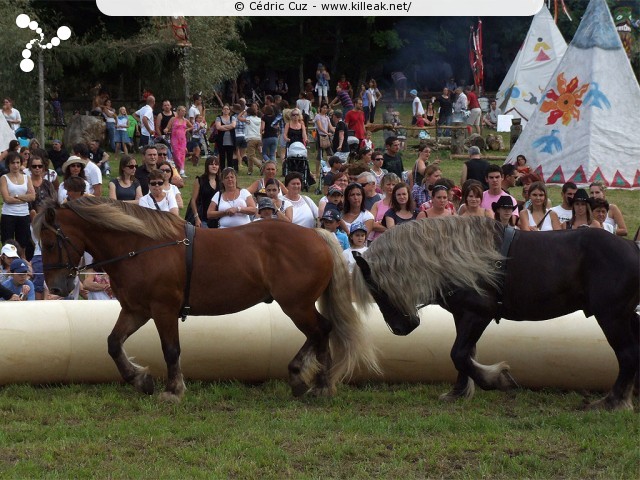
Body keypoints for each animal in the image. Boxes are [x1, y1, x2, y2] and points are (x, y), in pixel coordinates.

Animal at [35, 197, 378, 404]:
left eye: (50, 243)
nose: (56, 286)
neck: (139, 246)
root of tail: (316, 235)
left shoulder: (163, 310)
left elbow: (171, 350)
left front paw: (172, 390)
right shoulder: (136, 310)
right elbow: (112, 343)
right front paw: (140, 379)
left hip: (296, 305)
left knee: (321, 331)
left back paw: (320, 383)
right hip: (298, 305)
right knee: (320, 331)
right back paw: (300, 376)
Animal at [352, 217, 636, 408]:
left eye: (375, 289)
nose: (400, 329)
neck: (455, 258)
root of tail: (634, 249)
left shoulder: (479, 314)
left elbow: (459, 353)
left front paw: (496, 380)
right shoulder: (462, 315)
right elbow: (463, 354)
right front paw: (458, 391)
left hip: (612, 316)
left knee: (627, 354)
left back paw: (613, 401)